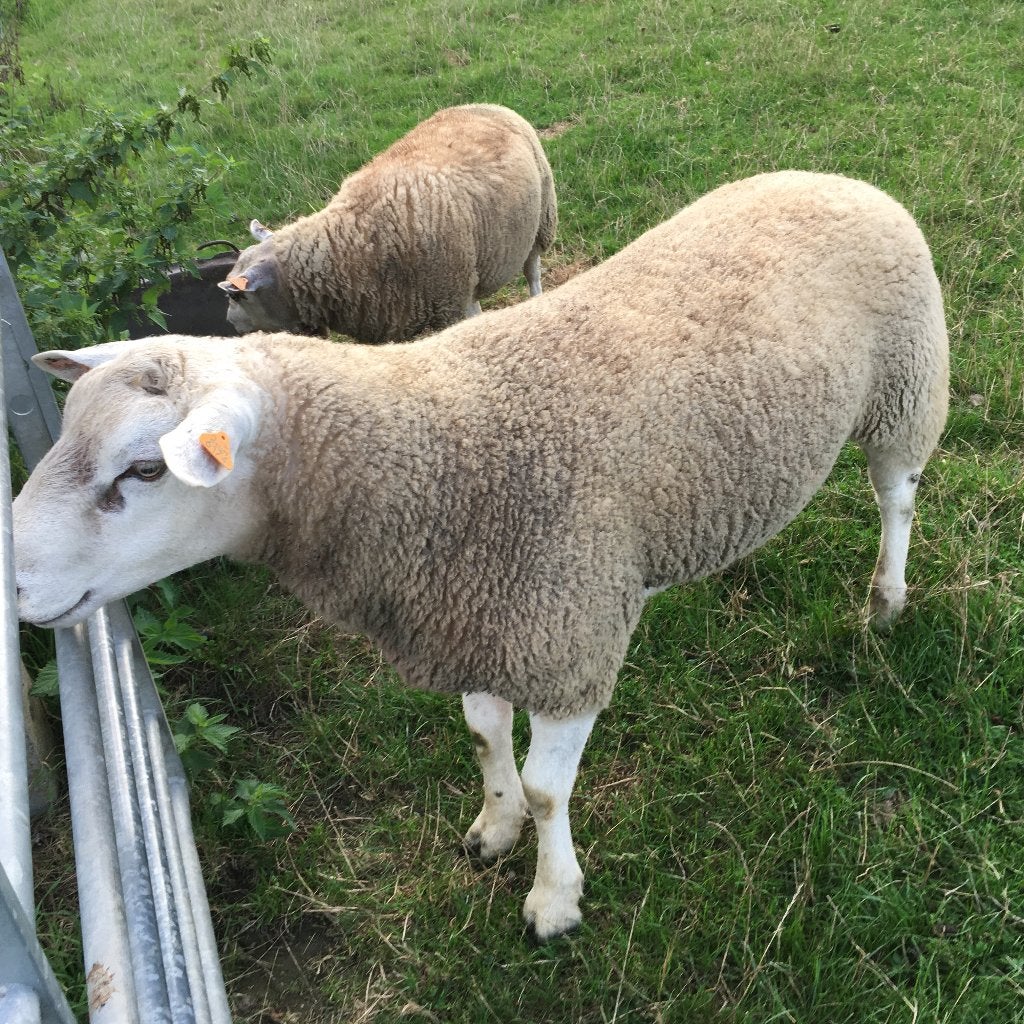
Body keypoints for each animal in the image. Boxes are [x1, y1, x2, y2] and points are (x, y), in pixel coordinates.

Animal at [14, 171, 949, 941]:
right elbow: (481, 735)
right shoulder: (476, 616)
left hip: (907, 387)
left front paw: (553, 900)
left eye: (144, 469)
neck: (430, 459)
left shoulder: (568, 638)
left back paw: (886, 599)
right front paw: (494, 829)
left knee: (898, 499)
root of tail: (834, 176)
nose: (12, 580)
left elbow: (547, 790)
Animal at [218, 103, 557, 342]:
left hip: (542, 217)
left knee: (532, 270)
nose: (230, 325)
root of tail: (484, 104)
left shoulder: (455, 296)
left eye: (235, 295)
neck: (350, 243)